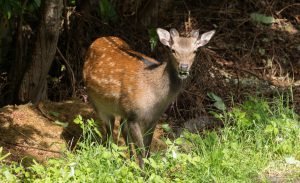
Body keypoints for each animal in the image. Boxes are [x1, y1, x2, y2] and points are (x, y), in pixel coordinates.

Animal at [82, 27, 216, 168]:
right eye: (173, 50)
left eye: (195, 51)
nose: (184, 67)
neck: (156, 99)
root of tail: (98, 39)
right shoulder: (133, 115)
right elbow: (141, 150)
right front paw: (142, 171)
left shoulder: (153, 118)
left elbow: (147, 149)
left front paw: (148, 169)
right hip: (98, 104)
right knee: (109, 131)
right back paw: (112, 159)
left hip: (122, 110)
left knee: (122, 129)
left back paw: (129, 161)